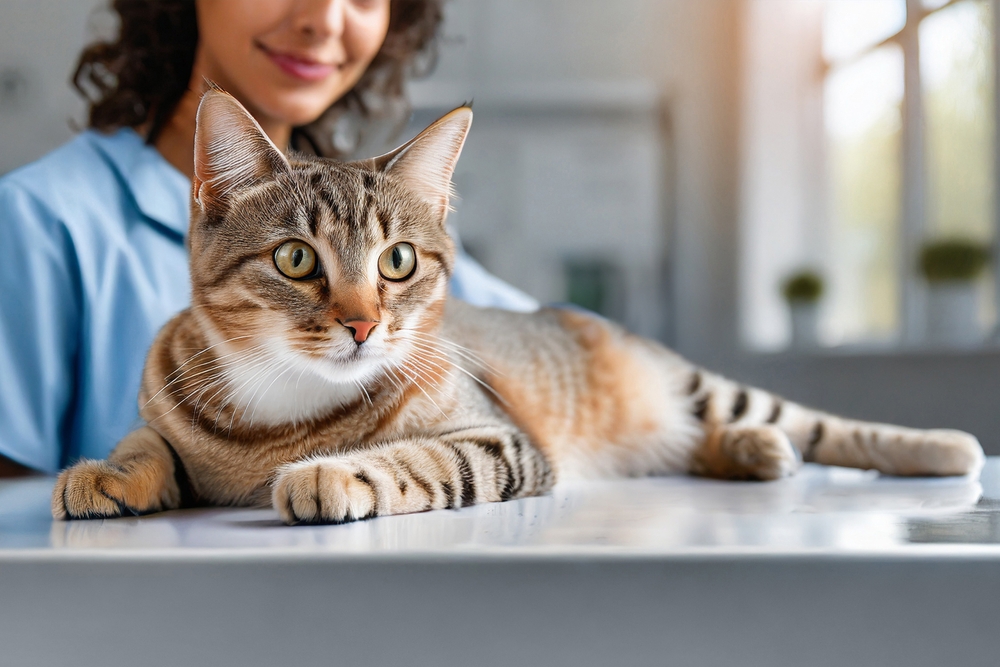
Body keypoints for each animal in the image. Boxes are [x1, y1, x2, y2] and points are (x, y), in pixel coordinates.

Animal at [52, 90, 984, 528]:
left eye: (397, 261)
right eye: (295, 258)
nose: (362, 323)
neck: (281, 409)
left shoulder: (503, 439)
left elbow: (419, 458)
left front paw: (336, 471)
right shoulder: (164, 400)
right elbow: (147, 438)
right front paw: (110, 470)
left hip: (692, 384)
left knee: (810, 421)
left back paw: (933, 445)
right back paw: (751, 451)